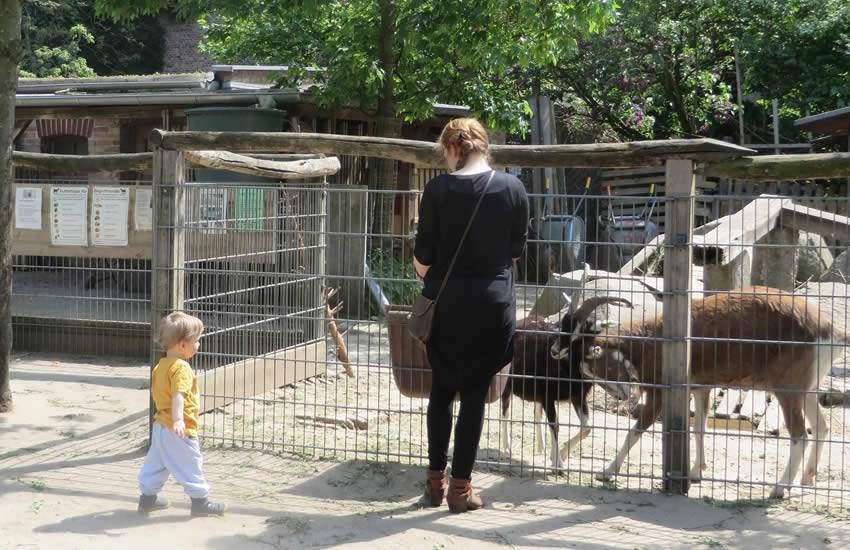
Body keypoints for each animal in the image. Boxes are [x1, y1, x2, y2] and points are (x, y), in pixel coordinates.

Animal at [500, 298, 632, 470]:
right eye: (563, 324)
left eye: (582, 330)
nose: (554, 351)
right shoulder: (548, 395)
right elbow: (555, 425)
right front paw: (558, 464)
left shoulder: (577, 396)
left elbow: (587, 427)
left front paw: (560, 454)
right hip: (506, 384)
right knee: (505, 412)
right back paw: (507, 449)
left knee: (536, 414)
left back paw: (541, 448)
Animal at [556, 288, 848, 500]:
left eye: (591, 361)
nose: (621, 397)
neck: (655, 337)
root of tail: (829, 329)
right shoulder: (700, 388)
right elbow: (699, 429)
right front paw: (696, 472)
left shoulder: (659, 393)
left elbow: (635, 431)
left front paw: (606, 472)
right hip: (807, 388)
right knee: (821, 426)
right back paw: (807, 478)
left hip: (787, 390)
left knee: (800, 434)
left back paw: (778, 488)